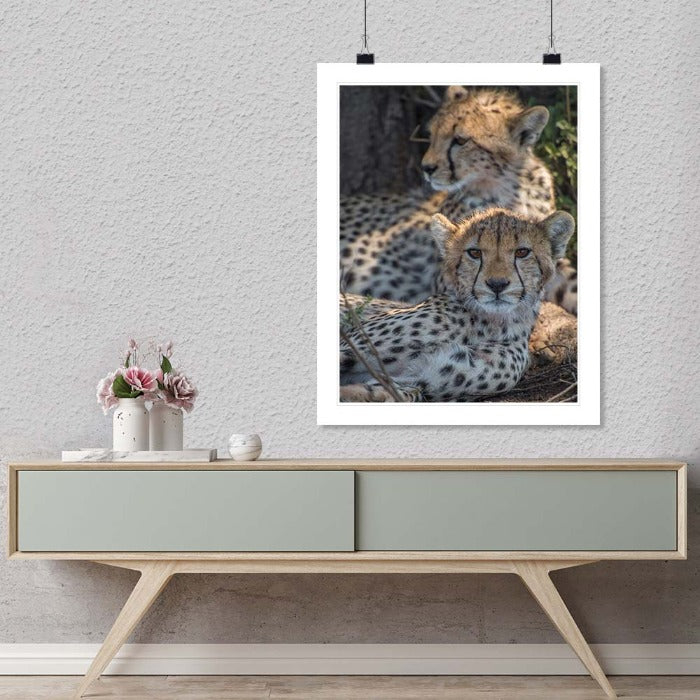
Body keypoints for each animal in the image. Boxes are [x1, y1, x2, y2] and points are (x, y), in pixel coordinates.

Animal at [339, 207, 575, 402]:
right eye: (475, 253)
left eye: (522, 252)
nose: (497, 284)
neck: (487, 324)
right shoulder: (349, 344)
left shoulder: (421, 379)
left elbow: (400, 392)